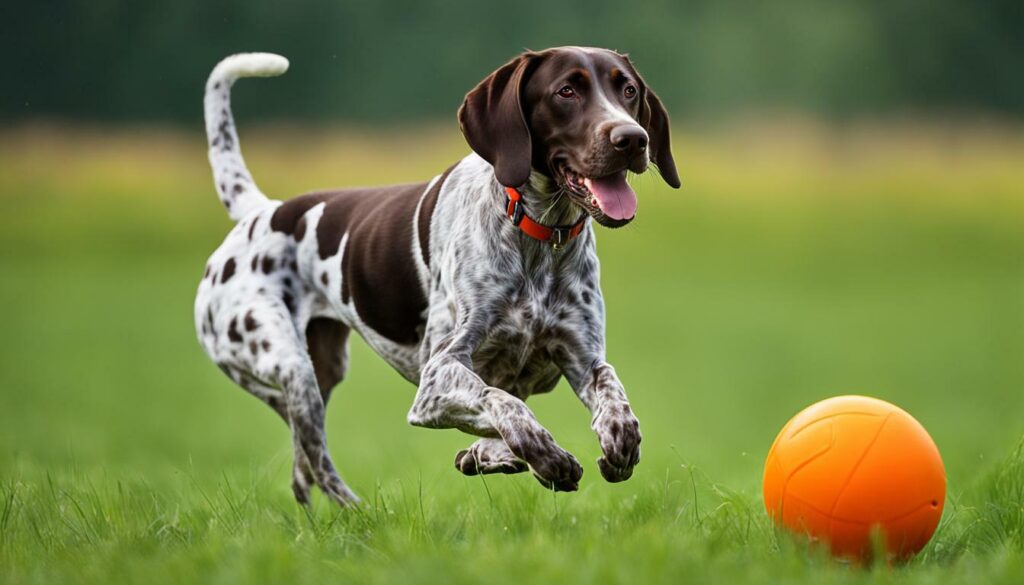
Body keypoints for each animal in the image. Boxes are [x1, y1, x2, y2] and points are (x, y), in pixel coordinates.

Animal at [192, 48, 679, 506]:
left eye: (628, 90)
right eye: (566, 91)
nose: (632, 139)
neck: (537, 234)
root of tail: (262, 211)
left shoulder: (582, 357)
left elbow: (612, 396)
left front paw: (608, 439)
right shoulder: (436, 378)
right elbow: (503, 403)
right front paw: (542, 455)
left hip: (321, 372)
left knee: (301, 470)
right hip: (288, 365)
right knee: (319, 465)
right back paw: (362, 513)